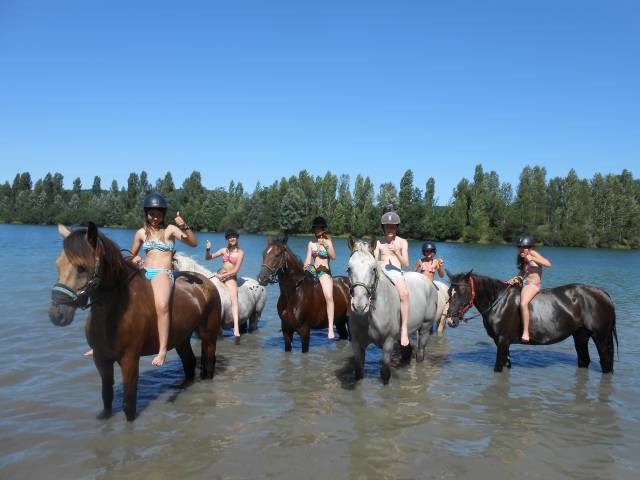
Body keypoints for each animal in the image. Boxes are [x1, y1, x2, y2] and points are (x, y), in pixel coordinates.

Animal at [48, 223, 222, 422]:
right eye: (58, 265)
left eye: (81, 268)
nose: (56, 313)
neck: (116, 312)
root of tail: (207, 283)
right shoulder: (101, 359)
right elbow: (106, 396)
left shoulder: (130, 360)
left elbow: (128, 405)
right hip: (181, 339)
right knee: (190, 363)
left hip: (209, 336)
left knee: (209, 363)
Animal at [344, 238, 440, 384]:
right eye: (349, 268)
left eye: (373, 269)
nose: (360, 306)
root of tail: (429, 283)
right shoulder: (357, 344)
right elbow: (359, 372)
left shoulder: (387, 344)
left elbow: (385, 373)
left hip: (425, 328)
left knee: (420, 353)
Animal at [444, 272, 616, 374]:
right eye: (449, 292)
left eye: (463, 292)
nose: (450, 320)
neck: (498, 303)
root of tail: (603, 294)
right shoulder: (502, 343)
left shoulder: (502, 341)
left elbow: (498, 367)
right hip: (580, 336)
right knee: (584, 360)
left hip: (600, 338)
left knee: (606, 362)